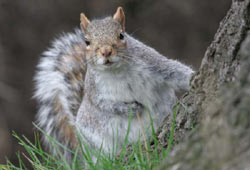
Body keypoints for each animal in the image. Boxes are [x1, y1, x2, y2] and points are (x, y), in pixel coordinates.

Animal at [33, 6, 193, 161]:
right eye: (87, 42)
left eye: (121, 35)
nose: (106, 51)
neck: (116, 71)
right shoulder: (94, 92)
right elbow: (105, 105)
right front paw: (130, 109)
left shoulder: (153, 64)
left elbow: (174, 71)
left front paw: (192, 78)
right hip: (95, 138)